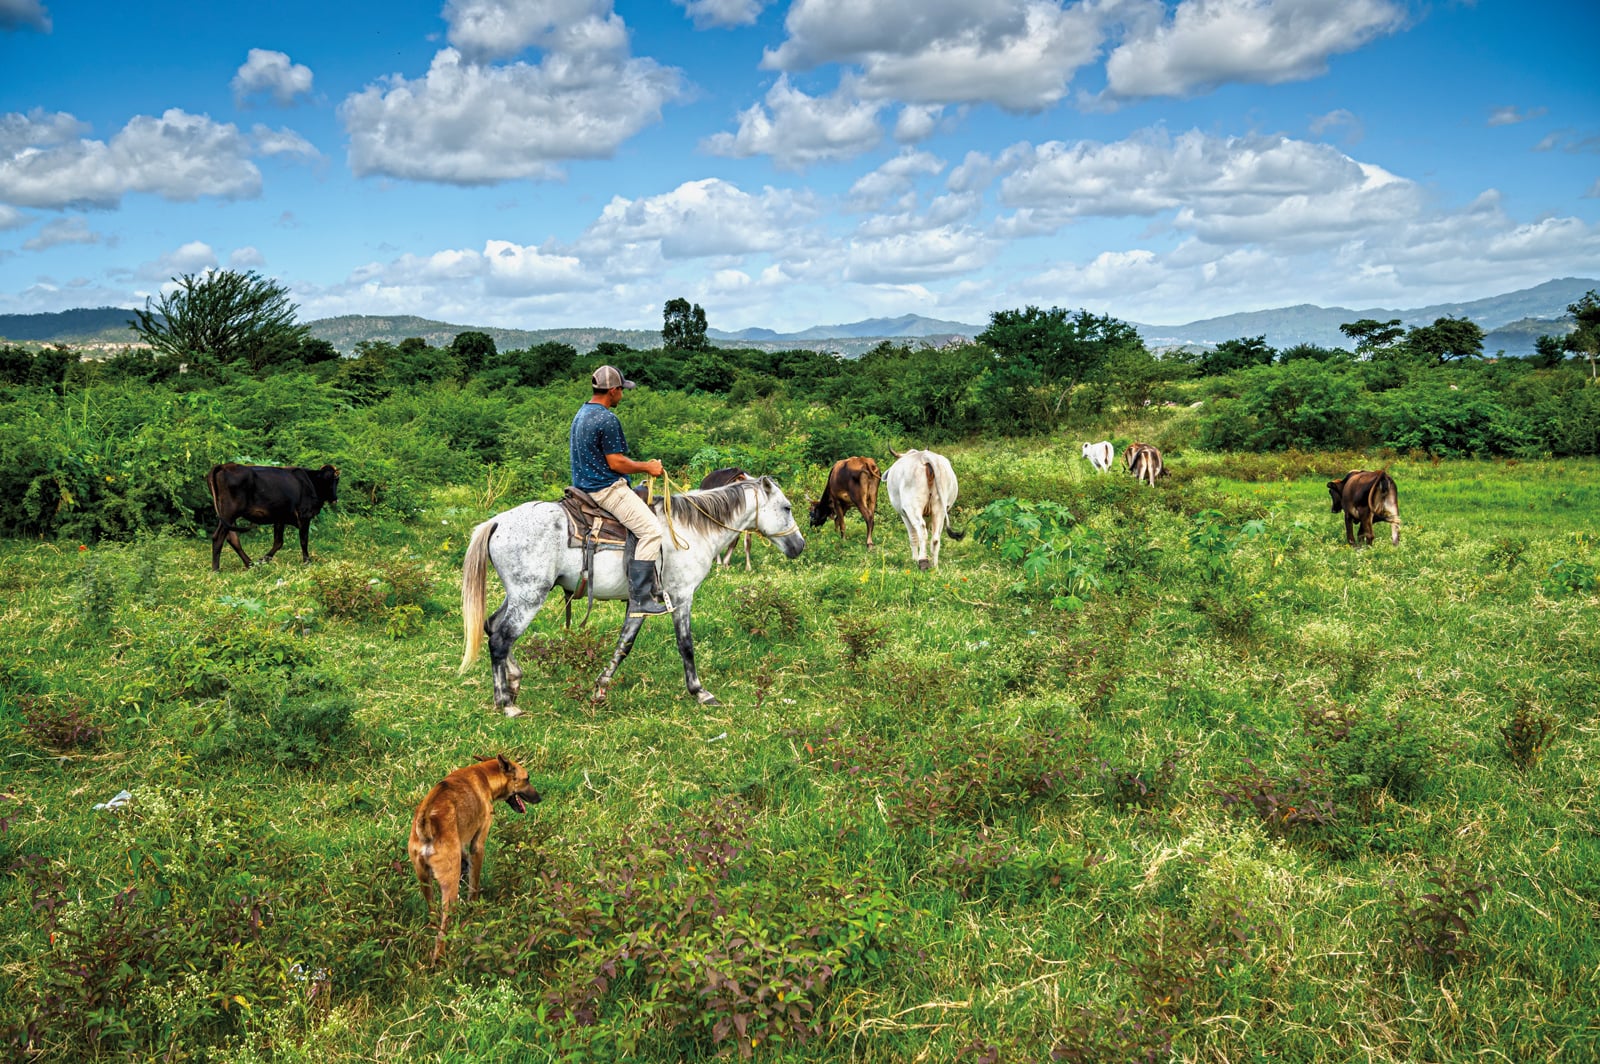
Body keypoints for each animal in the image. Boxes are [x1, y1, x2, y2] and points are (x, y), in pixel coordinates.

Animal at [206, 460, 340, 569]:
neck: (311, 482)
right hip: (229, 513)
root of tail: (224, 466)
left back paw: (250, 564)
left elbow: (278, 542)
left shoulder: (280, 518)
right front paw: (307, 561)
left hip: (227, 516)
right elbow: (303, 540)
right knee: (218, 538)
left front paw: (263, 560)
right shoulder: (304, 515)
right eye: (335, 480)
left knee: (232, 538)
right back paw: (216, 569)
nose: (335, 498)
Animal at [409, 755, 540, 960]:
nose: (540, 798)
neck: (484, 775)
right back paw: (440, 957)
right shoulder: (477, 846)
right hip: (449, 889)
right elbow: (474, 883)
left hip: (425, 881)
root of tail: (426, 822)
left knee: (432, 914)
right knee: (442, 931)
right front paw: (475, 907)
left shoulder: (462, 846)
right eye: (527, 779)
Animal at [460, 473, 806, 713]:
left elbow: (625, 643)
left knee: (492, 626)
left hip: (518, 594)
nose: (799, 546)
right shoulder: (681, 597)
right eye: (787, 508)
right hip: (530, 596)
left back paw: (514, 679)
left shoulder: (639, 602)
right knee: (501, 637)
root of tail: (497, 522)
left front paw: (600, 687)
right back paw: (505, 702)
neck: (690, 530)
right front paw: (699, 691)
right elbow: (686, 646)